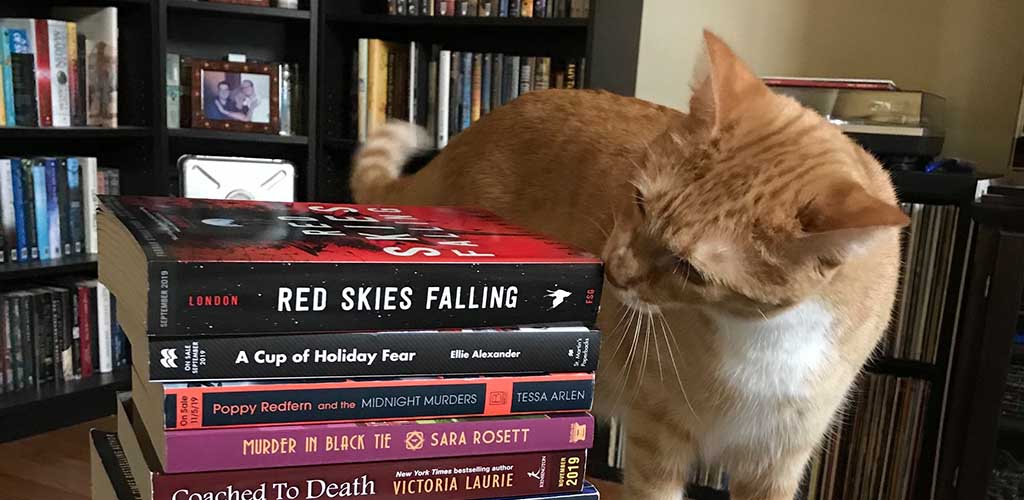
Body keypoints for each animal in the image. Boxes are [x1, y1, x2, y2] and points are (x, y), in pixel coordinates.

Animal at [350, 32, 905, 500]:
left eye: (690, 270)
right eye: (638, 202)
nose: (613, 272)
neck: (763, 336)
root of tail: (466, 139)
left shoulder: (778, 457)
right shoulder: (658, 434)